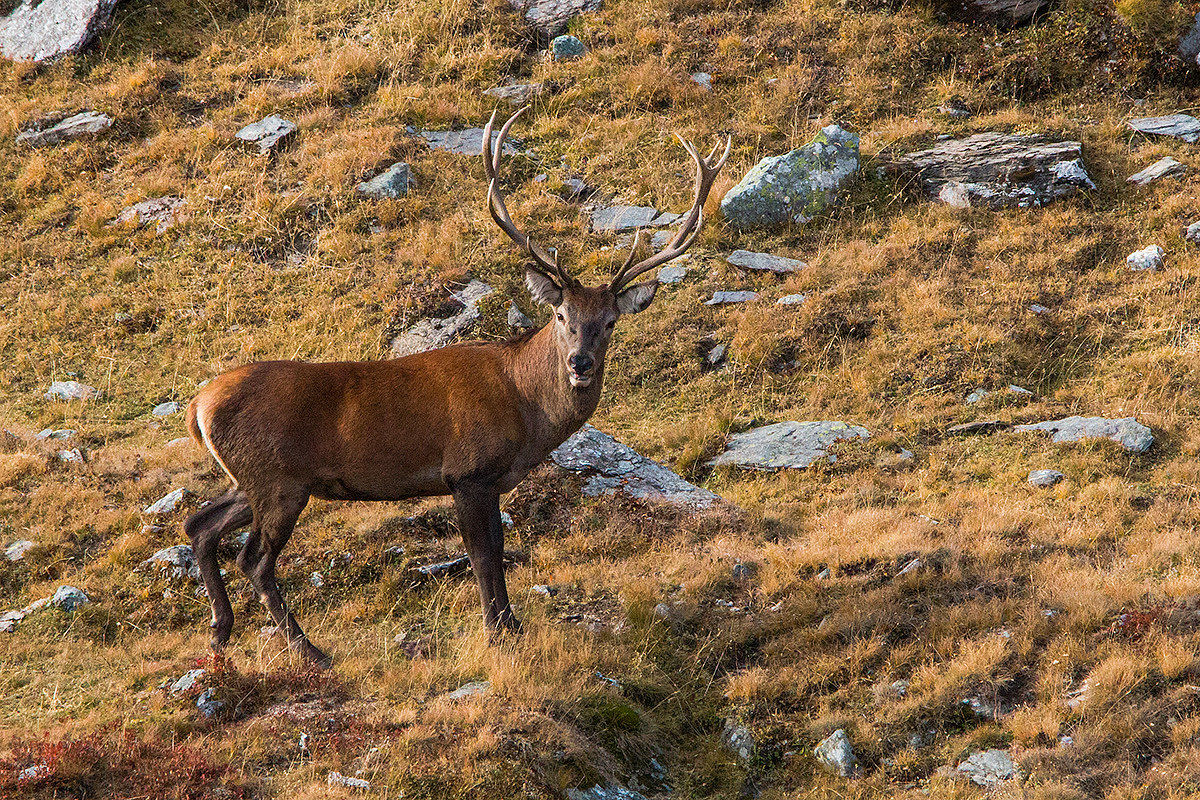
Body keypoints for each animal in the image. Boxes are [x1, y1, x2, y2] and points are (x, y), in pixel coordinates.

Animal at [183, 106, 730, 667]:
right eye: (562, 316)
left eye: (611, 322)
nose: (580, 364)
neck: (525, 409)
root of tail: (198, 405)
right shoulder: (467, 471)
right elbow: (485, 557)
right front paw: (499, 632)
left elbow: (495, 553)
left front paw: (509, 627)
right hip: (279, 480)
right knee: (253, 559)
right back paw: (308, 649)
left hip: (253, 478)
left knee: (199, 525)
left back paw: (220, 633)